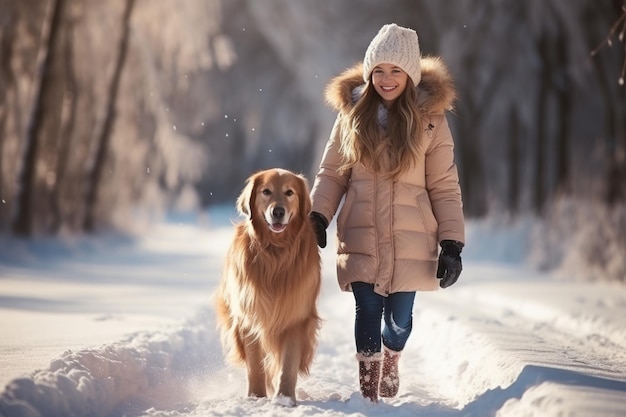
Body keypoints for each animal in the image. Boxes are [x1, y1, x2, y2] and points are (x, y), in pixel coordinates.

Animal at [216, 167, 322, 404]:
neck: (275, 251)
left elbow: (288, 364)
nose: (278, 211)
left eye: (290, 192)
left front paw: (285, 398)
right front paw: (256, 397)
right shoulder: (250, 317)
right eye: (266, 191)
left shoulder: (296, 317)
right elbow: (255, 365)